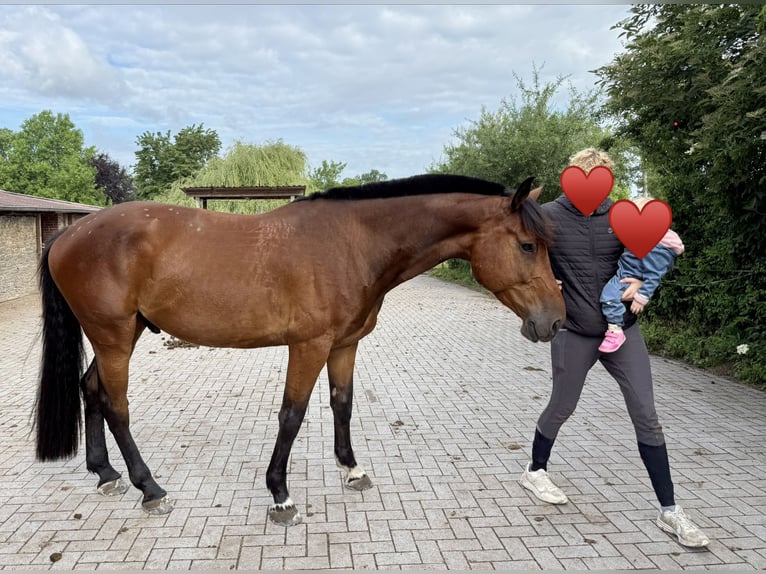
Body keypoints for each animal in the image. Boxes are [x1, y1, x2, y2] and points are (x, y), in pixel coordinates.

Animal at [34, 173, 565, 526]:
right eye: (527, 245)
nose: (555, 320)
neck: (353, 242)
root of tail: (68, 234)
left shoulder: (344, 344)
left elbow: (342, 404)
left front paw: (352, 469)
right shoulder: (308, 346)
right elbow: (292, 415)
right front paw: (281, 494)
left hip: (122, 335)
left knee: (91, 390)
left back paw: (104, 473)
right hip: (113, 337)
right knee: (116, 406)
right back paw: (150, 488)